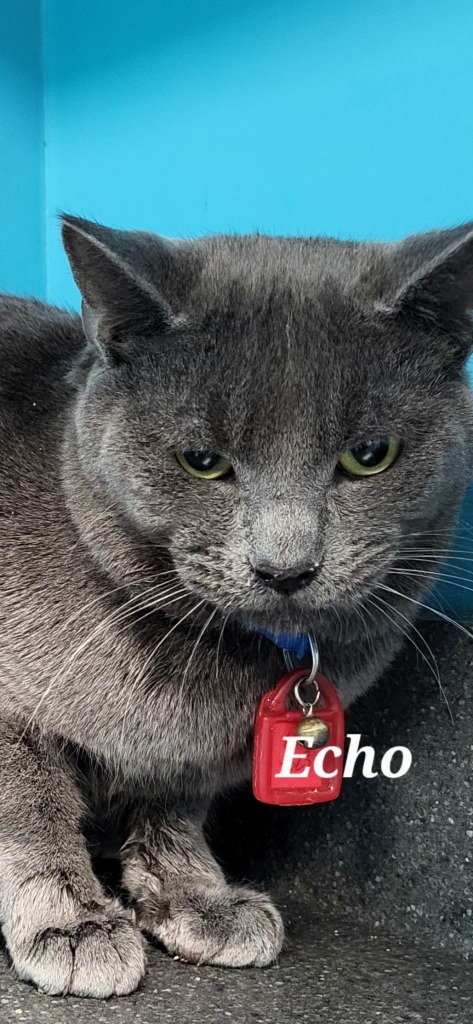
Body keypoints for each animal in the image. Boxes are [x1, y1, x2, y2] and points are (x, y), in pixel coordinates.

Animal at [0, 214, 470, 991]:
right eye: (201, 462)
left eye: (370, 454)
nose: (286, 567)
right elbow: (32, 807)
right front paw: (71, 922)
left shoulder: (191, 758)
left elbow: (174, 809)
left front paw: (197, 899)